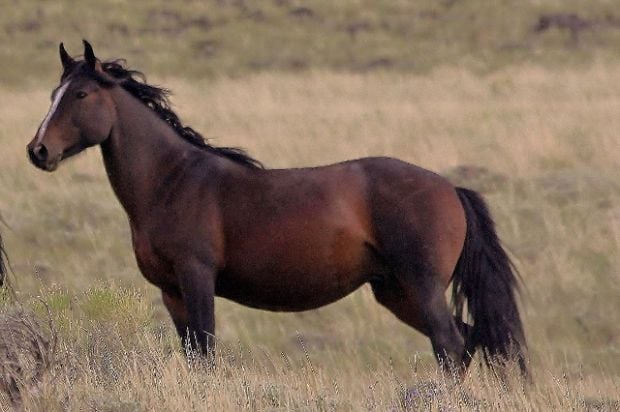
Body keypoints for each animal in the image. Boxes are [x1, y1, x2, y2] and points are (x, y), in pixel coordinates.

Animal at [26, 41, 524, 376]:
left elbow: (206, 353)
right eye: (53, 93)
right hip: (396, 292)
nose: (38, 151)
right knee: (466, 340)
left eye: (80, 95)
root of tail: (449, 188)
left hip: (421, 286)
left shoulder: (197, 278)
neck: (172, 180)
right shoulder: (171, 292)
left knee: (450, 343)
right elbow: (193, 356)